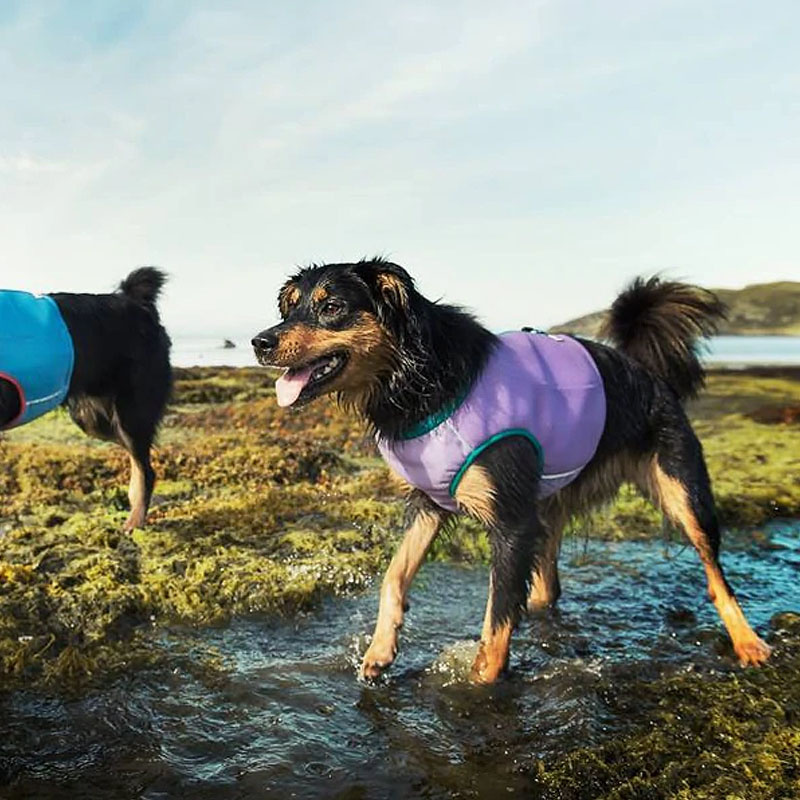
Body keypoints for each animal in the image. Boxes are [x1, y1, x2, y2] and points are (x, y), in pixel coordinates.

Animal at [253, 260, 772, 680]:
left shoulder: (510, 523)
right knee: (547, 585)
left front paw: (481, 684)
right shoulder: (429, 504)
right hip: (548, 505)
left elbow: (497, 625)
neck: (425, 378)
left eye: (332, 306)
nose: (260, 342)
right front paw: (381, 652)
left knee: (716, 574)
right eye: (290, 308)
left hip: (684, 492)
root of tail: (642, 369)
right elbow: (394, 577)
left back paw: (749, 643)